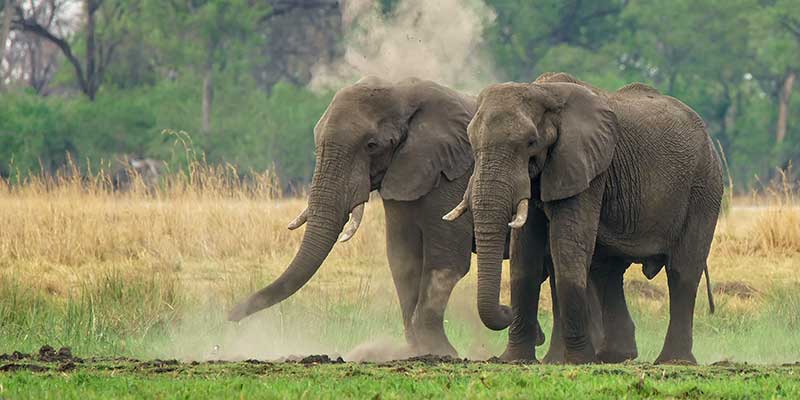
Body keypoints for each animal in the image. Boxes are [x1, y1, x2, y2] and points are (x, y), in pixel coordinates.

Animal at [230, 76, 544, 358]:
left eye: (371, 145)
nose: (231, 315)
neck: (402, 92)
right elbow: (402, 260)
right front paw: (416, 351)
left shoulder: (451, 174)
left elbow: (445, 261)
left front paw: (440, 352)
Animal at [446, 73, 720, 364]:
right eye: (471, 142)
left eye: (531, 143)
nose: (505, 310)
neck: (543, 91)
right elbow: (525, 254)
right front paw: (515, 360)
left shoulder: (586, 167)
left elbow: (567, 245)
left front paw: (576, 360)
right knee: (608, 270)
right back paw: (614, 356)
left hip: (703, 187)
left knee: (682, 270)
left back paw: (673, 361)